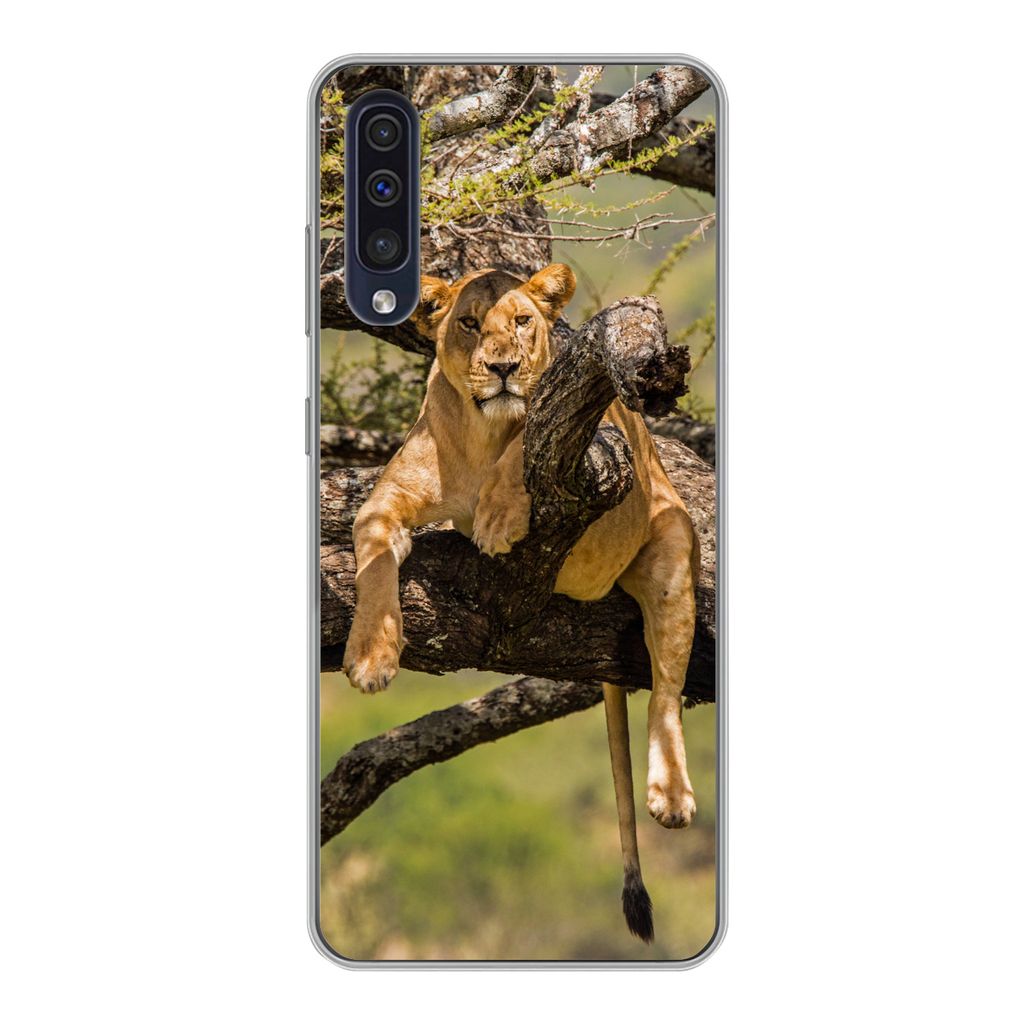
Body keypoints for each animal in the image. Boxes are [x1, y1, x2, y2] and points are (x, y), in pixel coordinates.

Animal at [342, 264, 701, 942]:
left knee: (666, 692)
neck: (481, 434)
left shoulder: (593, 442)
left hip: (670, 545)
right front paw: (371, 657)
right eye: (468, 322)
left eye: (523, 321)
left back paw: (670, 794)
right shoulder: (383, 505)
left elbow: (524, 447)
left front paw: (499, 518)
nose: (504, 366)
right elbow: (373, 565)